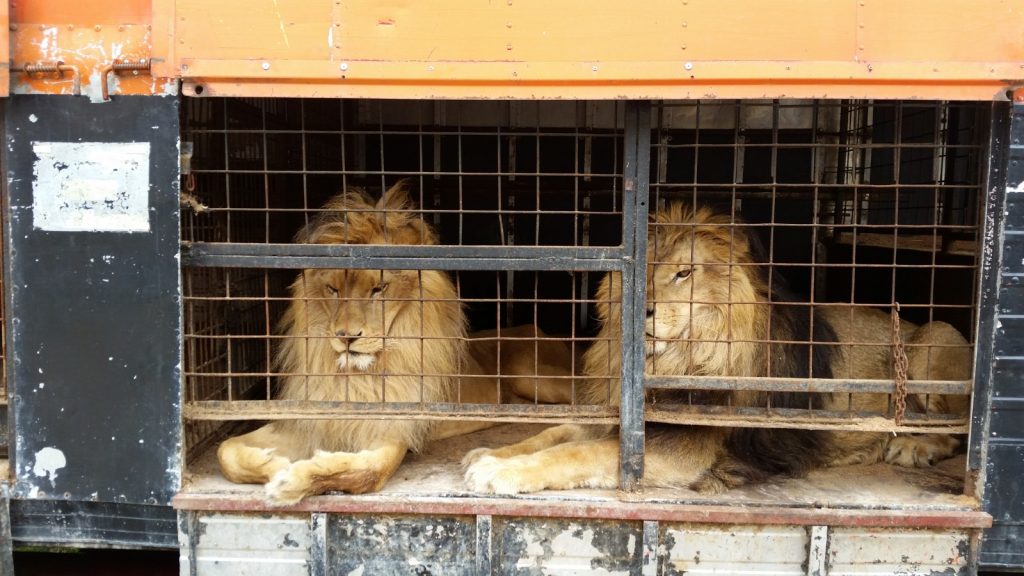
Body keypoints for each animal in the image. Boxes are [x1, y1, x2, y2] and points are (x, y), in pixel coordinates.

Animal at [218, 181, 577, 500]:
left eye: (378, 289)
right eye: (333, 289)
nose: (346, 337)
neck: (358, 376)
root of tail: (534, 328)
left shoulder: (391, 432)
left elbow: (364, 473)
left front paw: (291, 480)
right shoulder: (309, 420)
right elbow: (227, 452)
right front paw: (274, 462)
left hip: (536, 377)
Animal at [464, 200, 966, 494]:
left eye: (683, 274)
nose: (643, 311)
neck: (675, 358)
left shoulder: (683, 448)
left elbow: (577, 454)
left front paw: (499, 472)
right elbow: (555, 433)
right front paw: (487, 454)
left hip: (934, 336)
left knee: (957, 424)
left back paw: (914, 447)